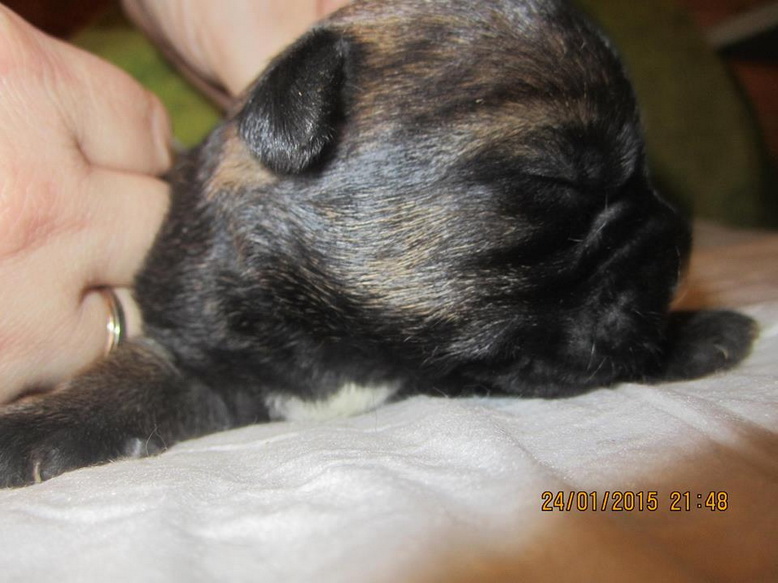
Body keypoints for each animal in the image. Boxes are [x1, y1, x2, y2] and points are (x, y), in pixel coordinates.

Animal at [0, 0, 756, 487]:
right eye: (554, 180)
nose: (680, 250)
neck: (348, 345)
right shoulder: (197, 353)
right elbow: (127, 377)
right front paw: (34, 426)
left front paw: (695, 330)